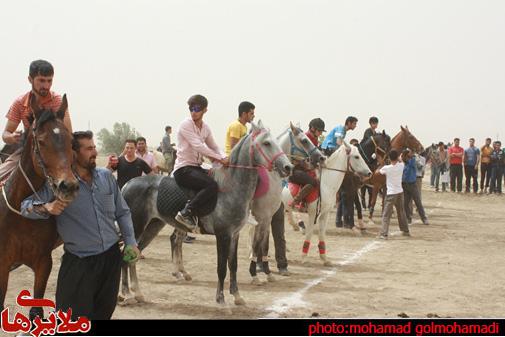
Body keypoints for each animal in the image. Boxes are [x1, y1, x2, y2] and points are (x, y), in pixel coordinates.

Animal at [0, 96, 78, 318]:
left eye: (71, 142)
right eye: (41, 142)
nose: (68, 186)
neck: (22, 214)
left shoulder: (43, 263)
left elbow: (36, 312)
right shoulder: (2, 264)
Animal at [119, 121, 292, 304]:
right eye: (266, 143)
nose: (288, 167)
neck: (231, 187)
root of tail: (127, 185)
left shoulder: (235, 235)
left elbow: (233, 265)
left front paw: (237, 296)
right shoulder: (223, 235)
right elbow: (222, 267)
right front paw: (220, 298)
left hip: (153, 226)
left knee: (135, 255)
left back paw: (137, 293)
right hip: (137, 227)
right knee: (127, 255)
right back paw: (126, 293)